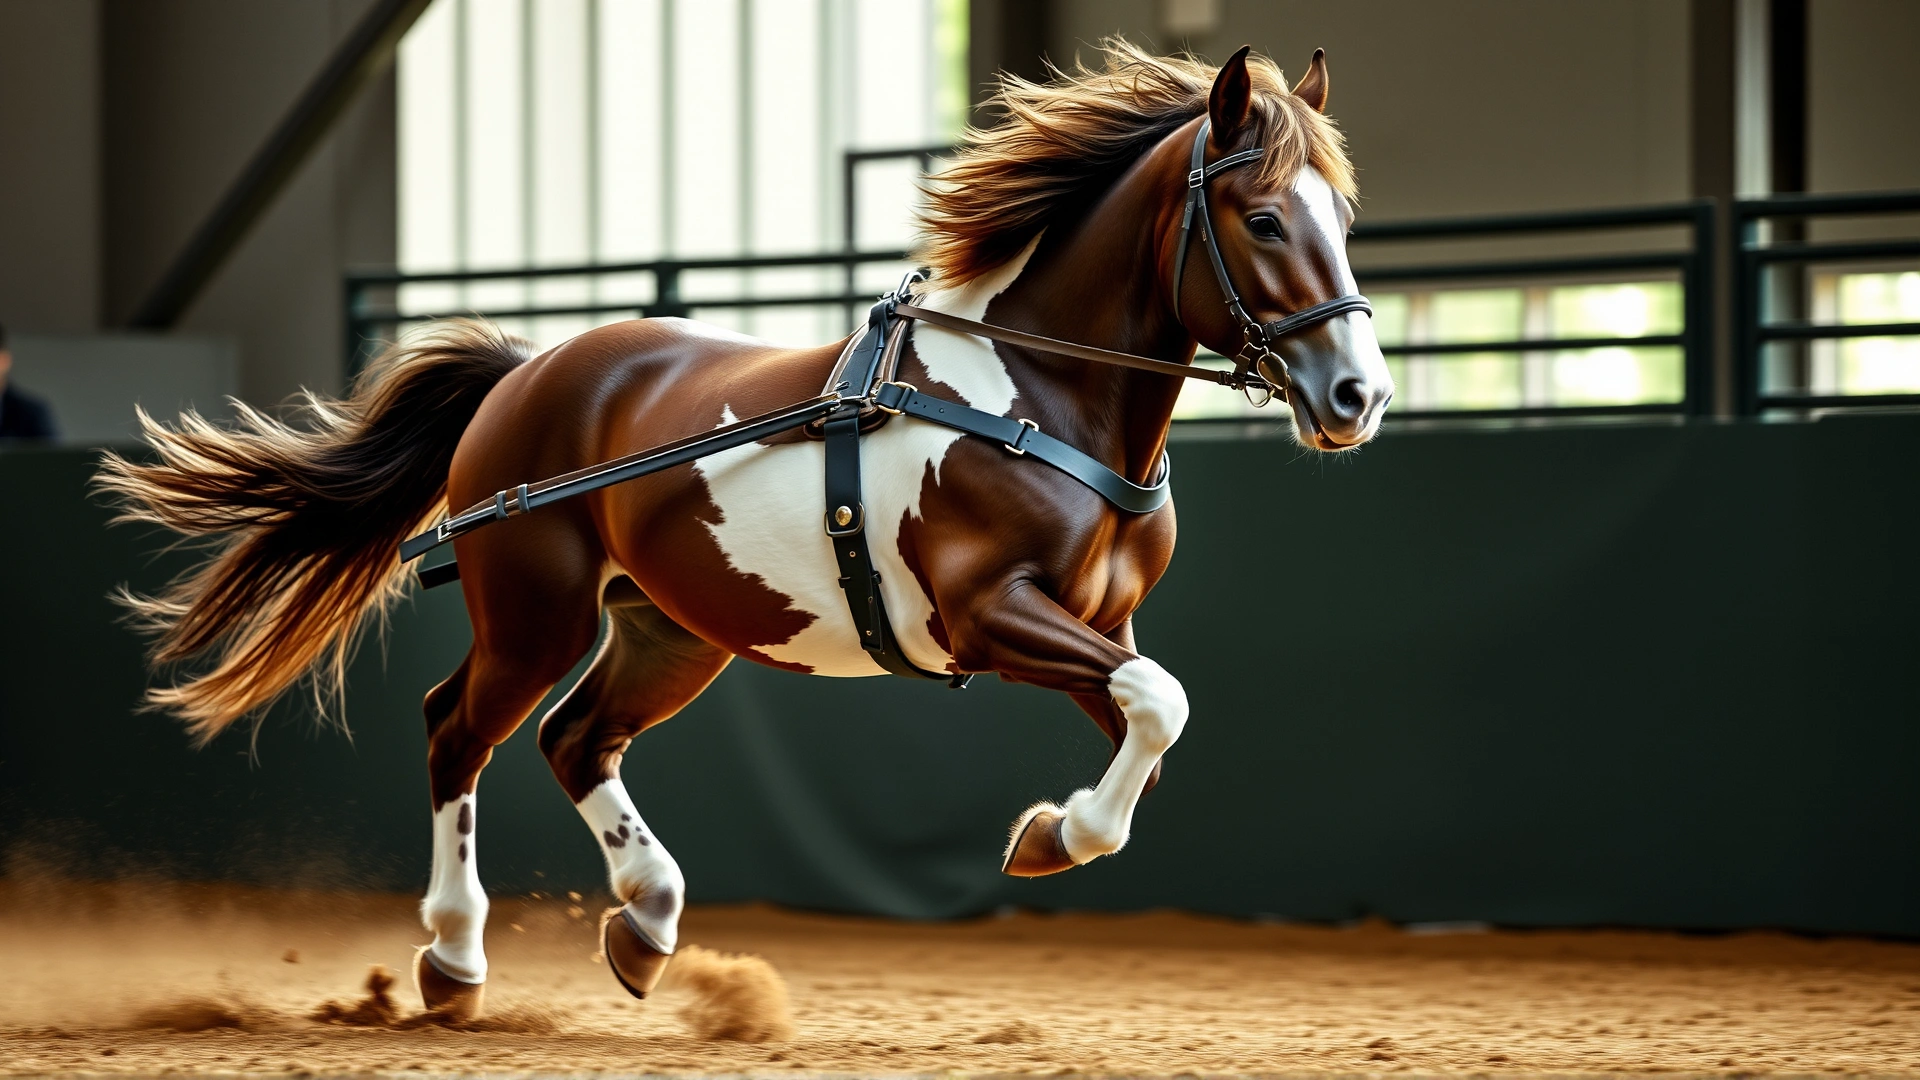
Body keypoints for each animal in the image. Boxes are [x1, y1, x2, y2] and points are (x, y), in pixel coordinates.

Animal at [99, 40, 1391, 1018]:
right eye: (1263, 218)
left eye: (1343, 214)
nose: (1357, 395)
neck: (1034, 394)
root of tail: (528, 371)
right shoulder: (990, 615)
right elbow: (1162, 704)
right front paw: (1049, 835)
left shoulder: (1096, 627)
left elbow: (1149, 722)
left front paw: (1052, 832)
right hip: (533, 614)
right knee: (458, 733)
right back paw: (455, 960)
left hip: (674, 630)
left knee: (576, 741)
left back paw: (647, 924)